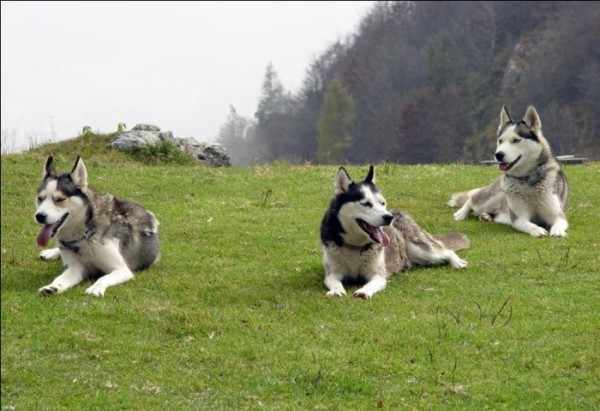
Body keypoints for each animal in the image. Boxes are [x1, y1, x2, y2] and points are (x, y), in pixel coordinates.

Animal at [34, 157, 161, 296]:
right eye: (40, 198)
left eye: (59, 199)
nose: (39, 216)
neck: (84, 235)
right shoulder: (75, 268)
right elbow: (60, 278)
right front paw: (52, 287)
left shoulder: (122, 269)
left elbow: (103, 278)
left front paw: (96, 288)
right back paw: (52, 252)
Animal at [318, 167, 468, 300]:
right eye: (366, 204)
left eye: (382, 203)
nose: (388, 217)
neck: (355, 246)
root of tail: (398, 212)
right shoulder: (333, 273)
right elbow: (335, 281)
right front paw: (336, 290)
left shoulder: (378, 275)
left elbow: (371, 284)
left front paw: (363, 291)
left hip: (420, 250)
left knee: (446, 251)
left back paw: (457, 262)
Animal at [450, 106, 568, 238]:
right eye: (500, 141)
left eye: (516, 140)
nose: (498, 155)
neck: (527, 180)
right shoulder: (518, 218)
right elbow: (529, 225)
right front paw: (537, 230)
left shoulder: (557, 215)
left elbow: (559, 223)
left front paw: (557, 232)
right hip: (492, 198)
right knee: (472, 199)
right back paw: (461, 213)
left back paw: (485, 216)